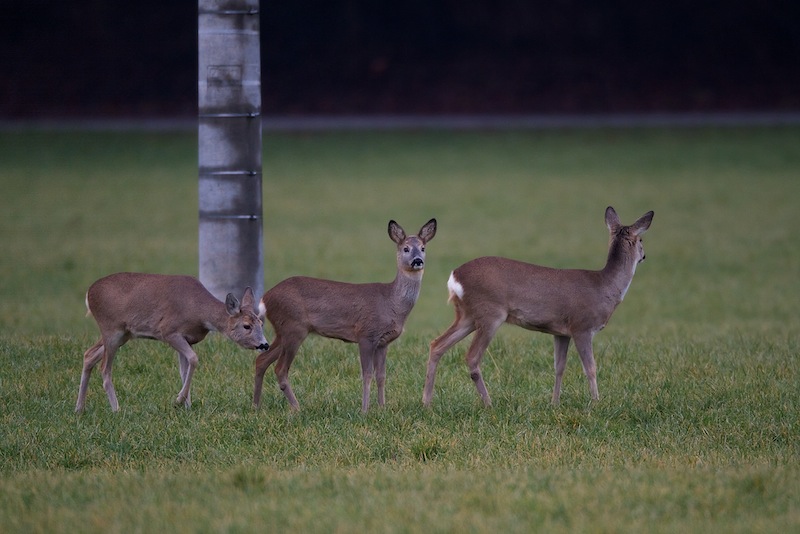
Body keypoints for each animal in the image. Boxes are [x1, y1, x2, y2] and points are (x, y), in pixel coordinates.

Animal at [76, 274, 268, 412]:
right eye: (246, 326)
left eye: (261, 323)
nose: (264, 344)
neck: (199, 312)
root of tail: (88, 294)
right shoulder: (168, 331)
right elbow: (194, 359)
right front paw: (179, 400)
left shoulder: (187, 338)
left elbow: (185, 367)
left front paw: (187, 406)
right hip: (111, 329)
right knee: (104, 368)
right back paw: (116, 409)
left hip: (123, 334)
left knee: (89, 354)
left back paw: (79, 408)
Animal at [253, 218, 438, 414]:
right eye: (406, 248)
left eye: (423, 248)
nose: (417, 261)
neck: (392, 303)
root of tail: (265, 298)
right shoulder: (366, 334)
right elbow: (367, 374)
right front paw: (364, 411)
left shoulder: (383, 342)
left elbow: (381, 375)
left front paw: (382, 408)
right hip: (293, 327)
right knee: (280, 369)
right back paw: (297, 407)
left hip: (283, 331)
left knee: (261, 360)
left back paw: (256, 406)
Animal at [422, 207, 652, 408]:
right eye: (641, 240)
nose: (644, 256)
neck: (605, 287)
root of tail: (454, 277)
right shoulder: (582, 327)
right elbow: (591, 368)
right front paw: (596, 403)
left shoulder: (562, 333)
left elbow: (559, 367)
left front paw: (554, 403)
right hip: (490, 314)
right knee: (471, 356)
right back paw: (488, 404)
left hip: (467, 315)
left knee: (437, 345)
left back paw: (427, 402)